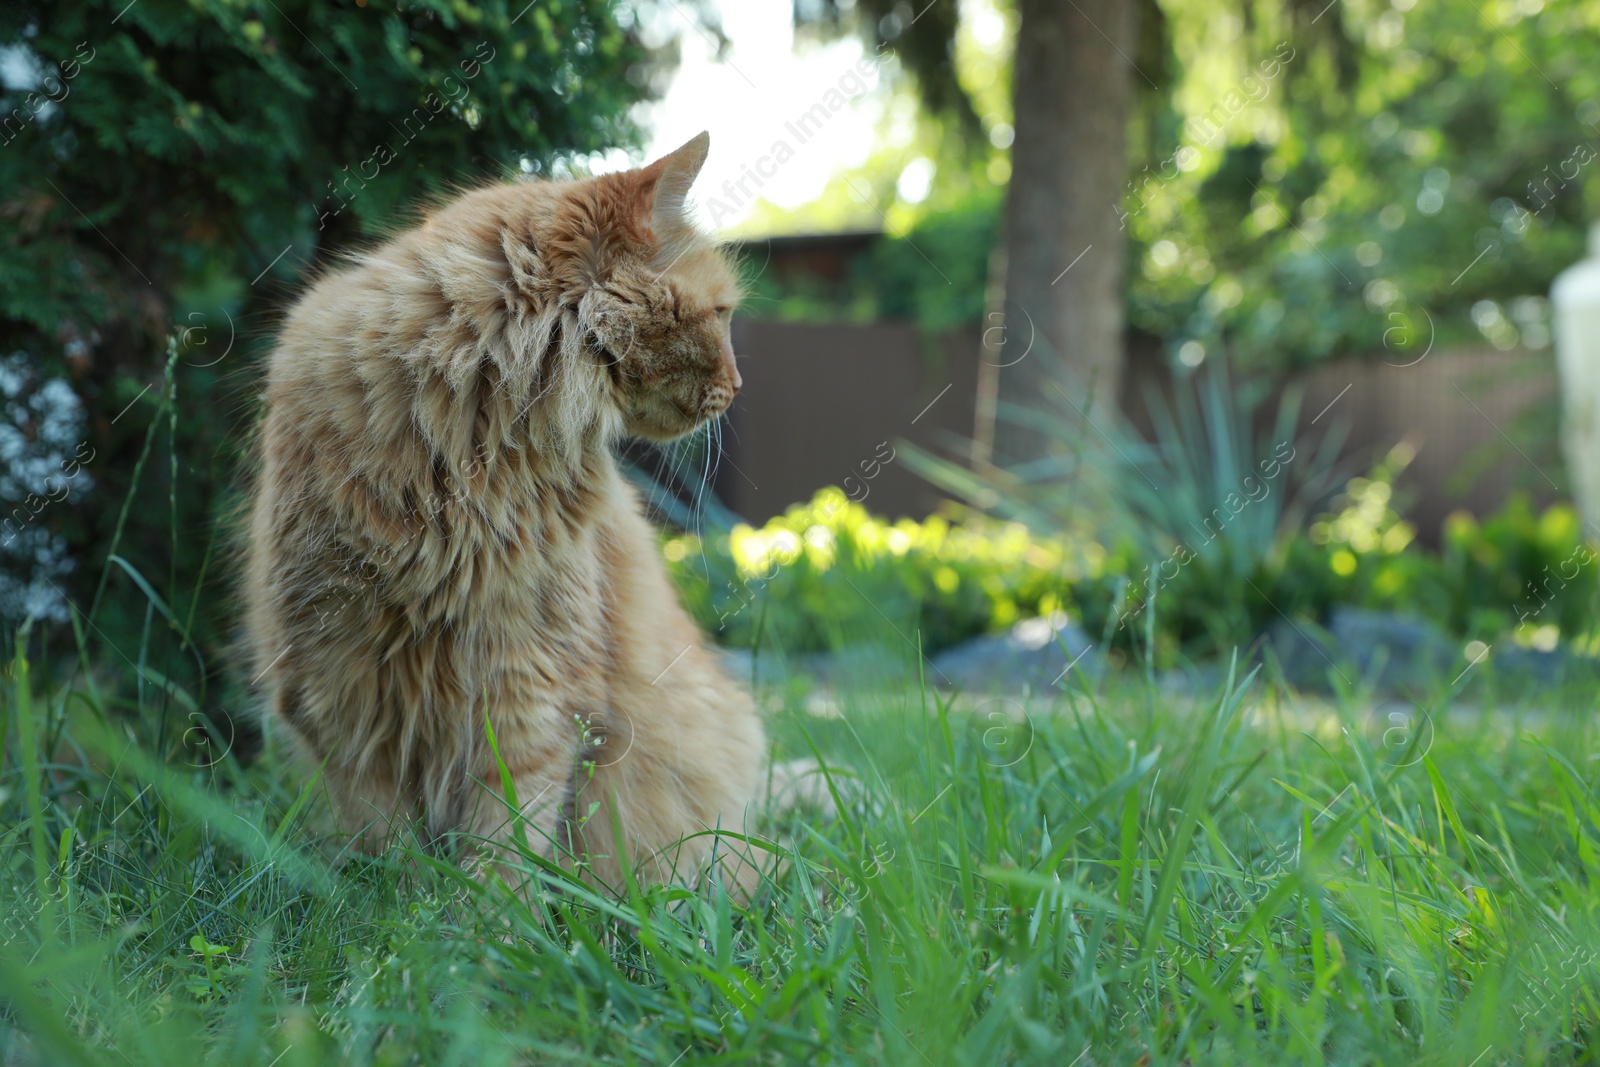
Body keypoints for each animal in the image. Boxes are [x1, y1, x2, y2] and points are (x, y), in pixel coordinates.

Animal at [243, 135, 774, 895]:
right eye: (725, 313)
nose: (737, 386)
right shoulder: (335, 691)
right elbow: (388, 855)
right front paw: (402, 915)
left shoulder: (531, 693)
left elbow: (501, 855)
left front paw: (479, 924)